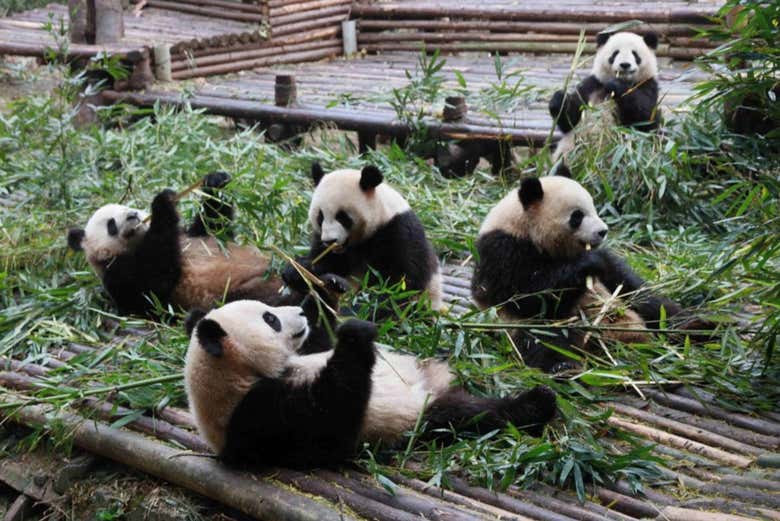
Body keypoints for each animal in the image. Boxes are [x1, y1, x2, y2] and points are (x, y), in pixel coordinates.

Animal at [67, 172, 283, 316]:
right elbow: (155, 283)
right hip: (240, 292)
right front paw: (162, 203)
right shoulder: (120, 273)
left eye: (127, 207)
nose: (132, 215)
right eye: (110, 224)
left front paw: (215, 182)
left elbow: (214, 227)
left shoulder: (191, 236)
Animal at [183, 299, 558, 467]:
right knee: (466, 416)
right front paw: (355, 334)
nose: (301, 313)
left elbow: (319, 345)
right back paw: (538, 403)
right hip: (418, 419)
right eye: (270, 319)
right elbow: (332, 420)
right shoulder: (258, 417)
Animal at [283, 163, 443, 312]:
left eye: (342, 217)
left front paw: (356, 308)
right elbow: (323, 262)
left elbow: (398, 285)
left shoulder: (399, 231)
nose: (330, 241)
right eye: (320, 217)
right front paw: (297, 270)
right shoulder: (323, 241)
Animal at [471, 167, 705, 373]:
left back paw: (696, 327)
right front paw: (588, 263)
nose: (603, 231)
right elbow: (527, 295)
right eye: (577, 216)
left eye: (594, 207)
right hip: (521, 325)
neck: (523, 227)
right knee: (544, 338)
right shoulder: (502, 250)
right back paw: (564, 367)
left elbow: (626, 281)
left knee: (655, 306)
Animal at [549, 31, 661, 160]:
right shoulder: (592, 86)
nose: (625, 65)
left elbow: (646, 118)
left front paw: (616, 85)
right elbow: (571, 120)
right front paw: (559, 99)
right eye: (615, 53)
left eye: (635, 54)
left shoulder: (647, 85)